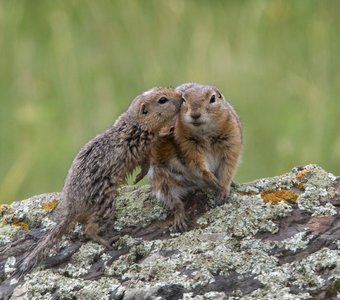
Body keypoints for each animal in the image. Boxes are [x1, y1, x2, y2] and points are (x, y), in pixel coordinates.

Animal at [17, 85, 183, 276]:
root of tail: (72, 207)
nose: (181, 96)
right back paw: (107, 241)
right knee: (89, 230)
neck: (134, 123)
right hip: (106, 202)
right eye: (162, 100)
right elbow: (146, 159)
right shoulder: (141, 144)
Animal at [141, 83, 242, 231]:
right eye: (183, 100)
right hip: (161, 179)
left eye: (212, 98)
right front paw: (210, 178)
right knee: (173, 202)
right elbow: (197, 164)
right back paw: (179, 218)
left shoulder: (231, 140)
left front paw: (223, 189)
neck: (204, 133)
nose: (195, 114)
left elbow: (228, 168)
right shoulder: (187, 145)